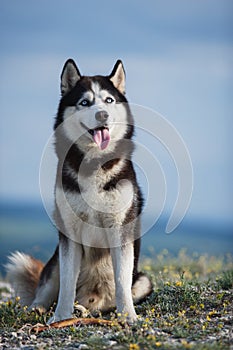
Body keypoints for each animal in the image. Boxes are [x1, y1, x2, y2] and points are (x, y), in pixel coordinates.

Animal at [5, 58, 153, 324]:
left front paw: (128, 317)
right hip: (54, 261)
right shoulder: (69, 232)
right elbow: (67, 283)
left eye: (109, 100)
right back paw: (41, 310)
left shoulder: (120, 229)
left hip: (143, 281)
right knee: (47, 289)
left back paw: (86, 311)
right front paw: (60, 317)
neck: (94, 163)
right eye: (85, 102)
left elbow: (121, 280)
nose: (102, 114)